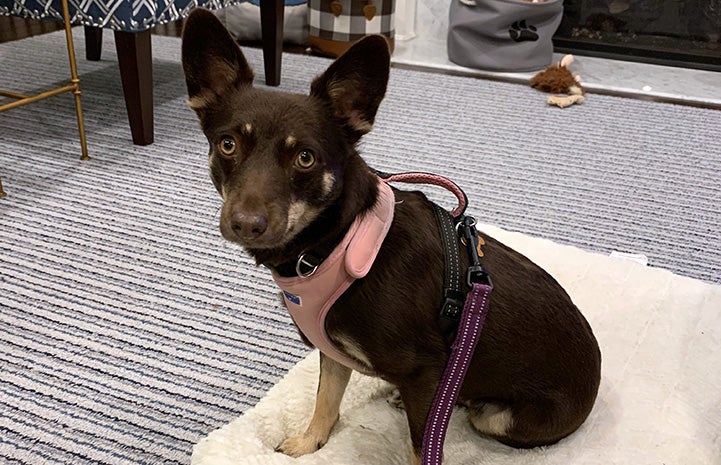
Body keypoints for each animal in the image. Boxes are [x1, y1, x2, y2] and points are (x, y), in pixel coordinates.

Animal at [181, 9, 600, 462]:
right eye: (227, 145)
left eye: (305, 158)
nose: (246, 224)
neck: (336, 242)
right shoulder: (333, 354)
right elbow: (325, 401)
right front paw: (308, 444)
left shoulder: (425, 371)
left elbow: (422, 446)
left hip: (500, 418)